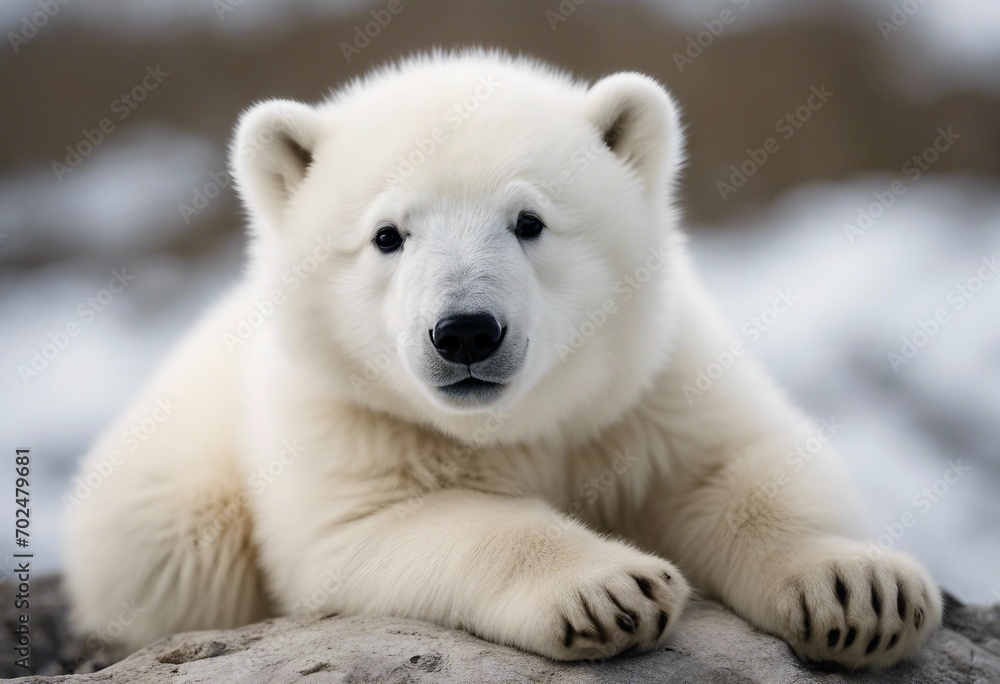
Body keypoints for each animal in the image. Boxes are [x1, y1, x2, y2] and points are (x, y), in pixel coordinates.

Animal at [64, 50, 942, 669]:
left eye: (529, 221)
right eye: (388, 234)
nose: (465, 332)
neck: (521, 423)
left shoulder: (647, 386)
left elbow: (735, 471)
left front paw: (861, 591)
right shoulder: (344, 422)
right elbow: (392, 525)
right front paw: (609, 590)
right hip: (168, 498)